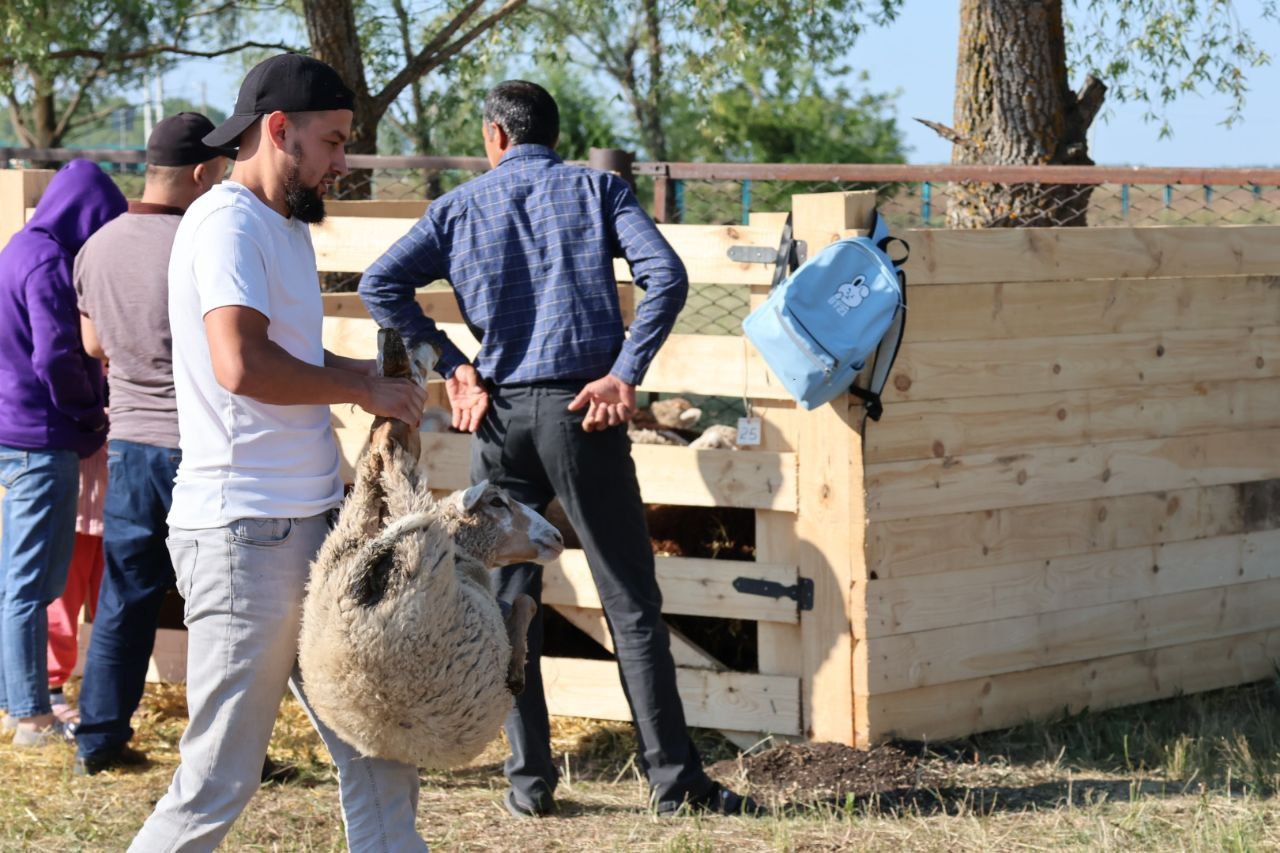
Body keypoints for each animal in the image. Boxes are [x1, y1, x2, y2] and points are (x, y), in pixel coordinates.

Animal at [302, 330, 563, 763]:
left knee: (376, 466)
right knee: (397, 464)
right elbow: (524, 605)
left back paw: (386, 407)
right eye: (497, 502)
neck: (466, 556)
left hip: (346, 538)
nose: (558, 538)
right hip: (422, 558)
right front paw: (516, 672)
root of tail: (352, 600)